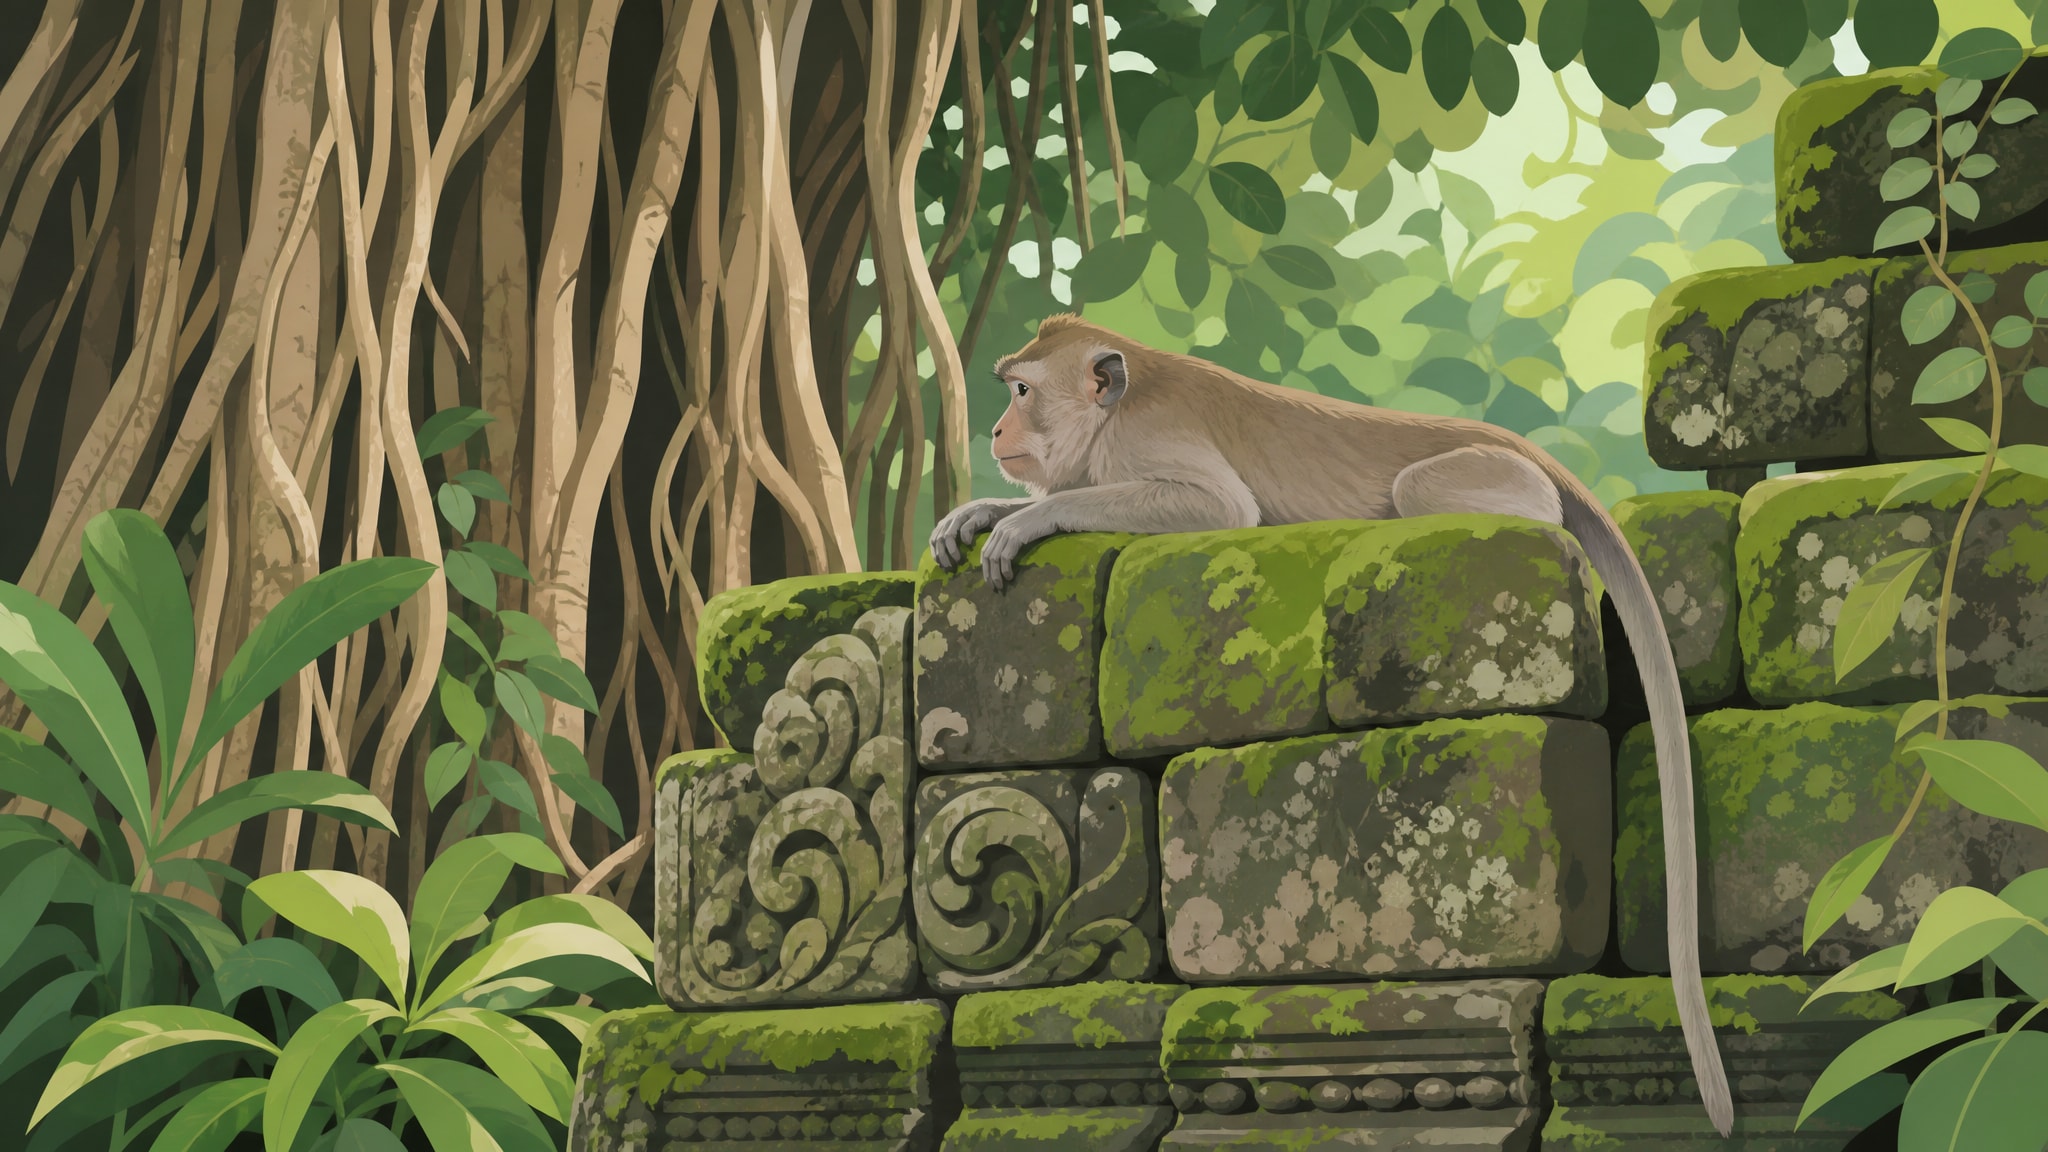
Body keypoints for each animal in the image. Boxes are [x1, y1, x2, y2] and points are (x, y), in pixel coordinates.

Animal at [928, 313, 1734, 1137]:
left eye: (1022, 392)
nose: (997, 430)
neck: (1115, 411)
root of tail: (1535, 455)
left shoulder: (1151, 442)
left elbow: (1220, 509)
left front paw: (1029, 518)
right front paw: (981, 512)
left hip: (1495, 481)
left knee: (1420, 492)